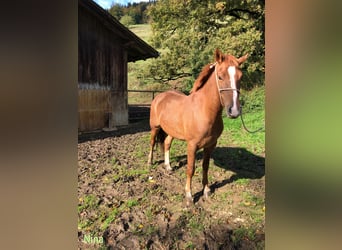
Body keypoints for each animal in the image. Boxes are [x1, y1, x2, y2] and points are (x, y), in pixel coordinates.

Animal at [148, 48, 247, 205]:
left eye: (240, 77)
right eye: (220, 77)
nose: (234, 111)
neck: (204, 110)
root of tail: (159, 96)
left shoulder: (211, 145)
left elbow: (205, 167)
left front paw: (206, 191)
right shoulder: (192, 145)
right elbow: (190, 169)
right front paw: (189, 196)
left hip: (171, 131)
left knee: (167, 143)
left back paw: (168, 167)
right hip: (155, 127)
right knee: (152, 143)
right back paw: (150, 162)